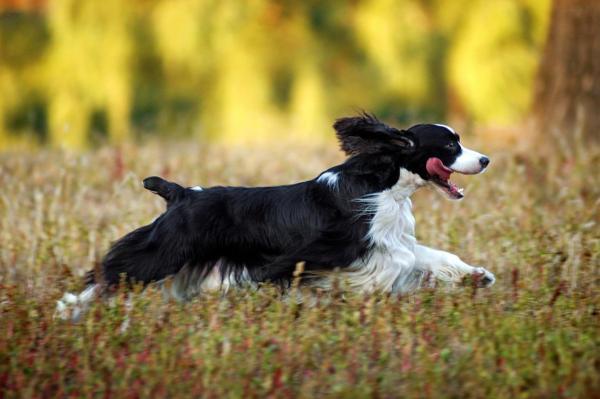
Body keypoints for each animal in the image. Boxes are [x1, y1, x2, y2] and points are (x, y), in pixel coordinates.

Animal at [56, 115, 494, 318]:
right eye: (451, 144)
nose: (486, 159)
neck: (383, 183)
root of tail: (181, 194)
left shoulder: (387, 241)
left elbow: (431, 257)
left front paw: (478, 276)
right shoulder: (340, 250)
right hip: (163, 251)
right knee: (113, 271)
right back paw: (68, 309)